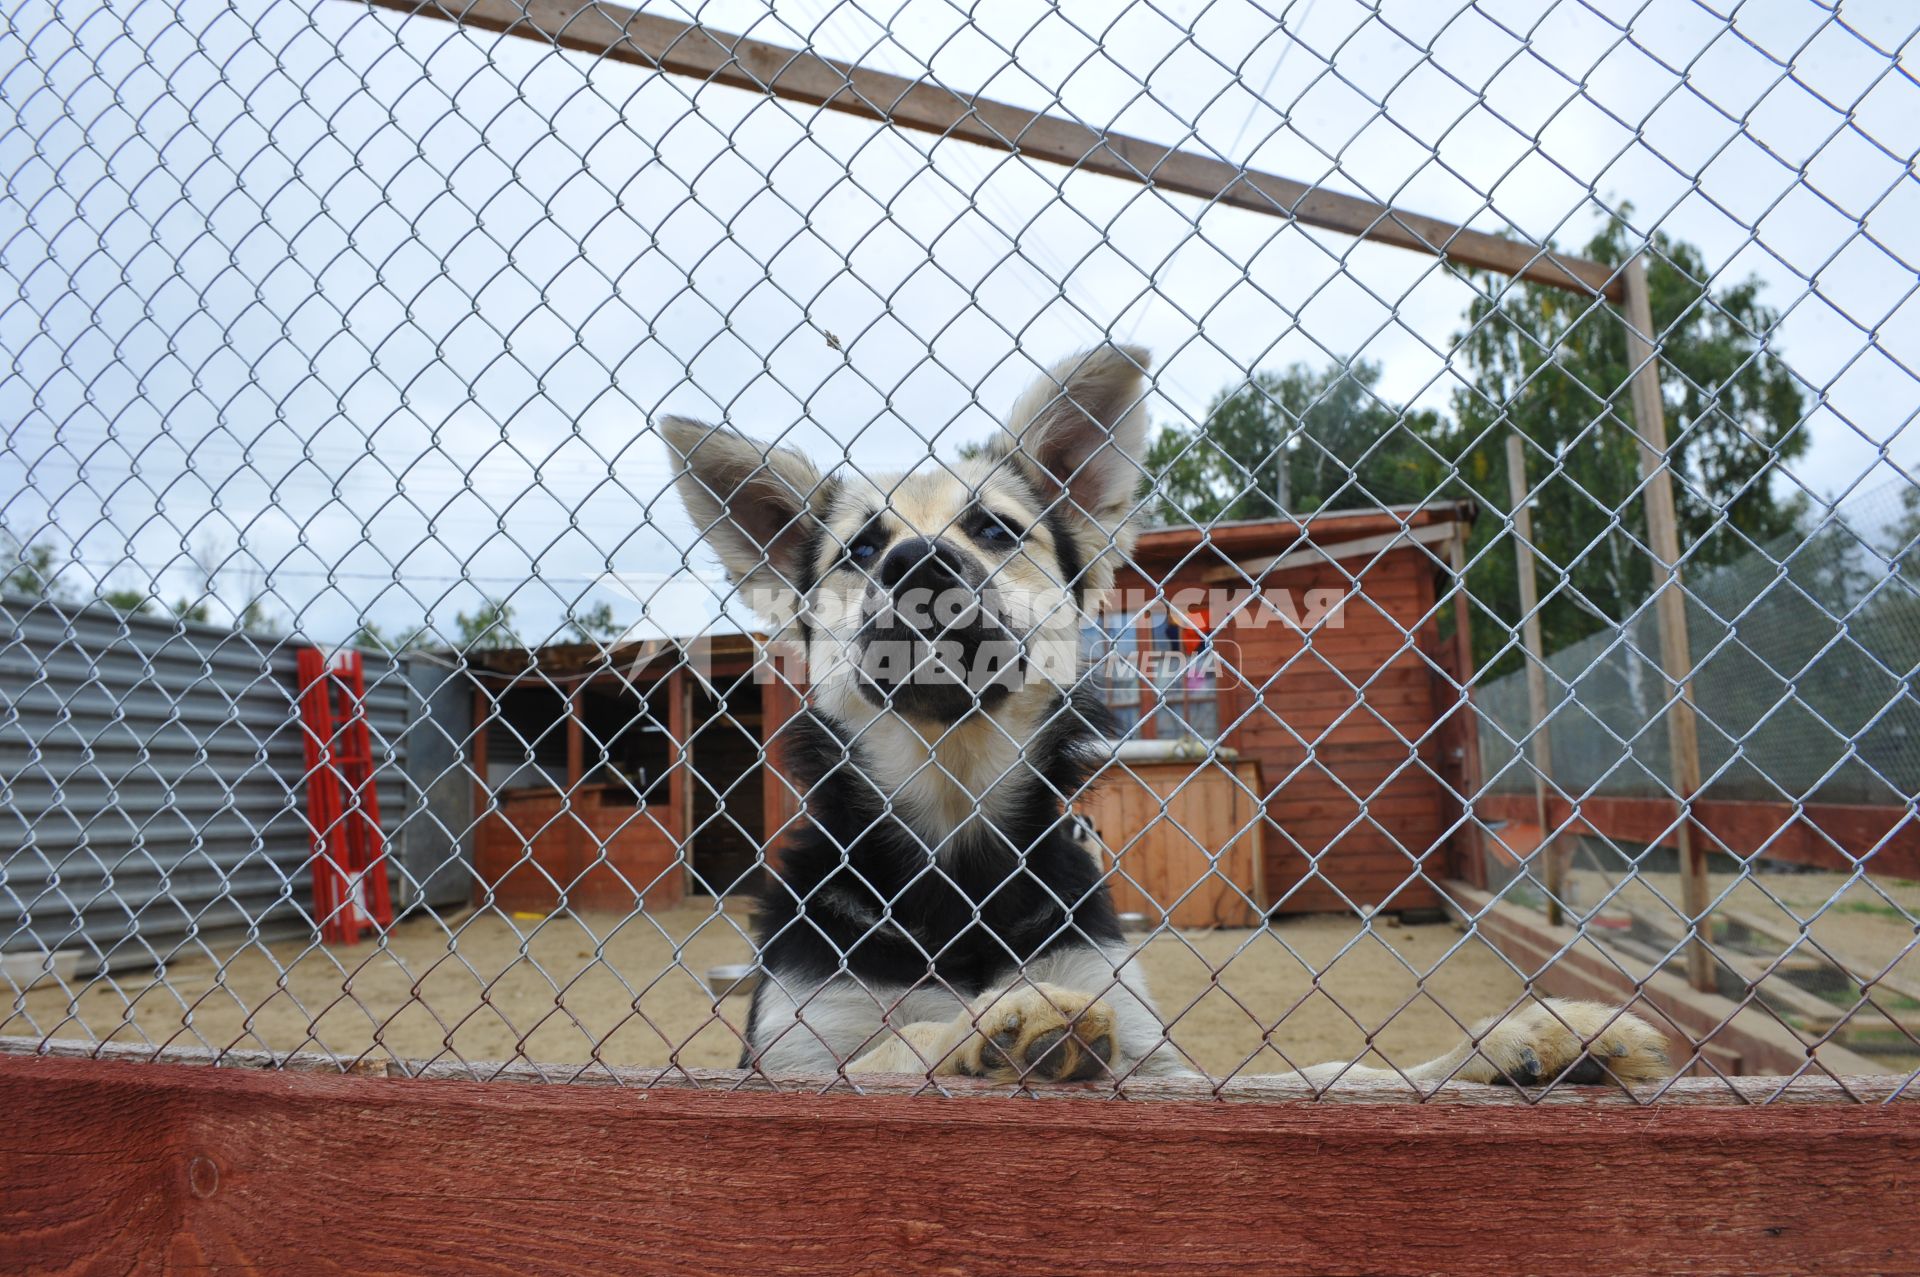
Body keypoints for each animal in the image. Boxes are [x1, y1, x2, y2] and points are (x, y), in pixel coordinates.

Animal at [664, 341, 1666, 1083]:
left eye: (991, 529)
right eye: (861, 549)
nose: (917, 563)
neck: (957, 837)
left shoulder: (1164, 1072)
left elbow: (1343, 1073)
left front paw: (1516, 1039)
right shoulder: (789, 1060)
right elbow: (890, 1044)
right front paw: (991, 1021)